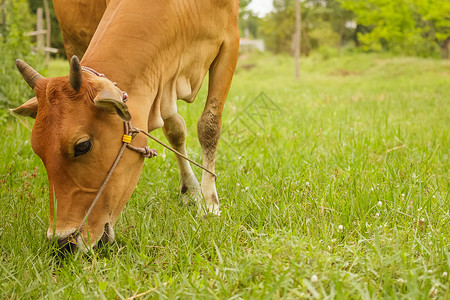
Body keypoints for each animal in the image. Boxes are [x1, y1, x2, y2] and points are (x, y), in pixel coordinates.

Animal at [11, 0, 239, 251]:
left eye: (82, 146)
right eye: (37, 150)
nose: (63, 241)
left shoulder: (230, 40)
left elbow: (208, 125)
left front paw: (209, 202)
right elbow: (175, 129)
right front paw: (193, 191)